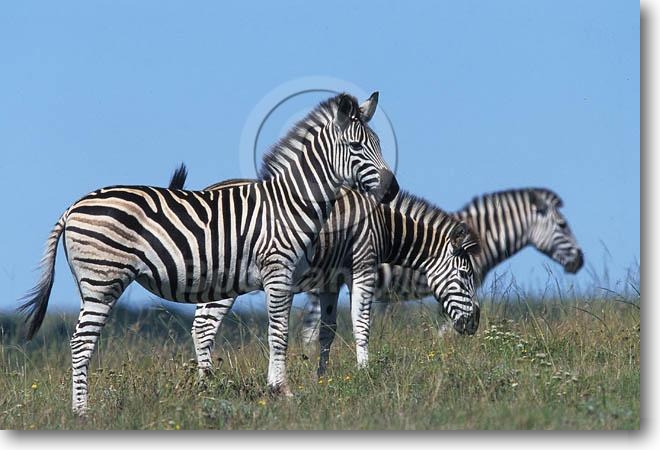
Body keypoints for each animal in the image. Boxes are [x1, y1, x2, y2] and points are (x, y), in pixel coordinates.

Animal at [18, 92, 399, 415]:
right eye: (355, 146)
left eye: (379, 144)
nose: (391, 189)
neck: (291, 202)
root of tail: (73, 207)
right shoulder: (278, 272)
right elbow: (279, 332)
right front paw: (282, 390)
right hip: (103, 279)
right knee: (81, 342)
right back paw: (82, 412)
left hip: (91, 283)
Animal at [168, 167, 481, 377]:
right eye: (465, 275)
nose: (475, 323)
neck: (382, 226)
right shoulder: (363, 267)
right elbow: (360, 323)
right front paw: (364, 371)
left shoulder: (330, 281)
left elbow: (326, 332)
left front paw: (322, 377)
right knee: (204, 328)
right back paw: (209, 383)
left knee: (201, 328)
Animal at [302, 187, 584, 348]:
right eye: (562, 225)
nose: (580, 260)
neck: (483, 235)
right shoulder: (455, 284)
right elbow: (446, 328)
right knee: (309, 333)